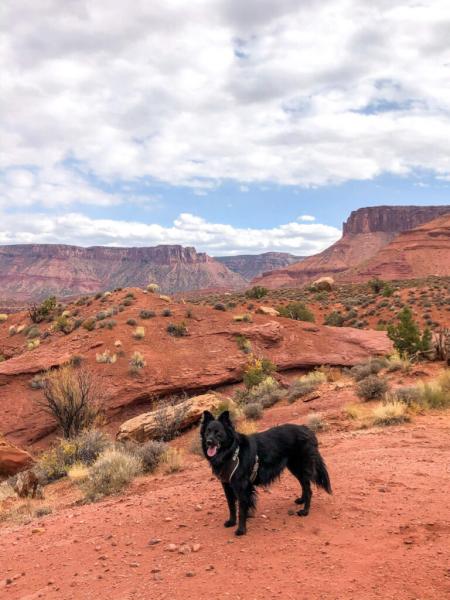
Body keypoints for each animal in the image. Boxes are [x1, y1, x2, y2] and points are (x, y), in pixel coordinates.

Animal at [200, 410, 330, 536]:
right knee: (304, 485)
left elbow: (241, 509)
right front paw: (231, 522)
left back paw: (305, 511)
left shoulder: (242, 487)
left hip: (302, 467)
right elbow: (231, 505)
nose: (208, 442)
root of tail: (307, 429)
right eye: (207, 432)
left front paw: (241, 529)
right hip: (294, 468)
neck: (232, 452)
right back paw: (301, 500)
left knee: (309, 489)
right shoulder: (226, 485)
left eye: (218, 432)